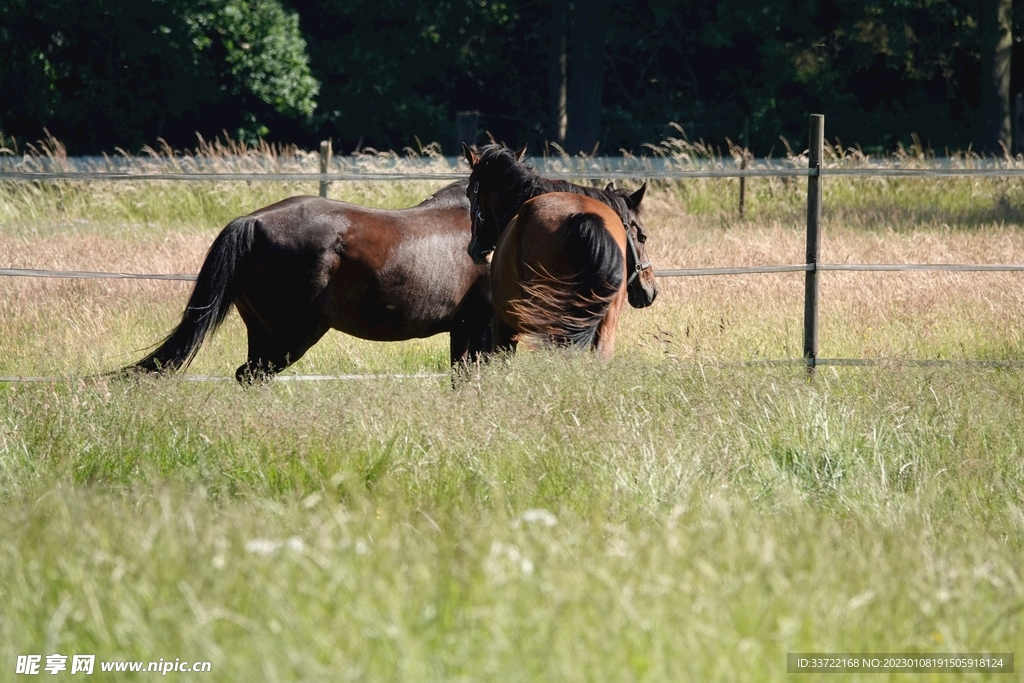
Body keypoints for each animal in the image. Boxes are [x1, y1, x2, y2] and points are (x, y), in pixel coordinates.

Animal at [122, 181, 492, 382]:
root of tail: (252, 222)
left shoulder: (463, 329)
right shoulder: (482, 328)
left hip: (262, 331)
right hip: (293, 335)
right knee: (252, 374)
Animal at [462, 144, 658, 358]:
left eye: (469, 192)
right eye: (643, 237)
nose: (651, 290)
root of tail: (583, 218)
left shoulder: (504, 323)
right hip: (604, 322)